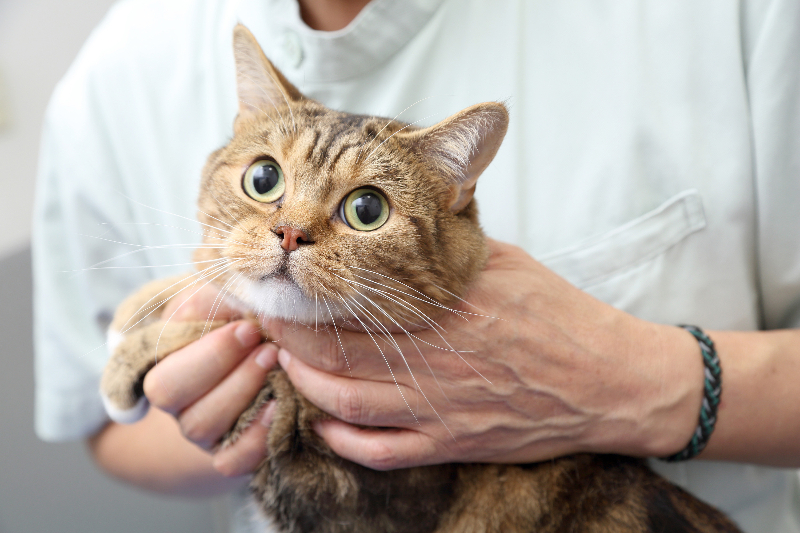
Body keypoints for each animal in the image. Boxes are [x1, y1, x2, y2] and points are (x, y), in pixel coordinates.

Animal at [100, 25, 744, 532]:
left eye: (367, 210)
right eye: (263, 178)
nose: (289, 234)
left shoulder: (348, 485)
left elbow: (254, 328)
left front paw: (132, 354)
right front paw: (150, 300)